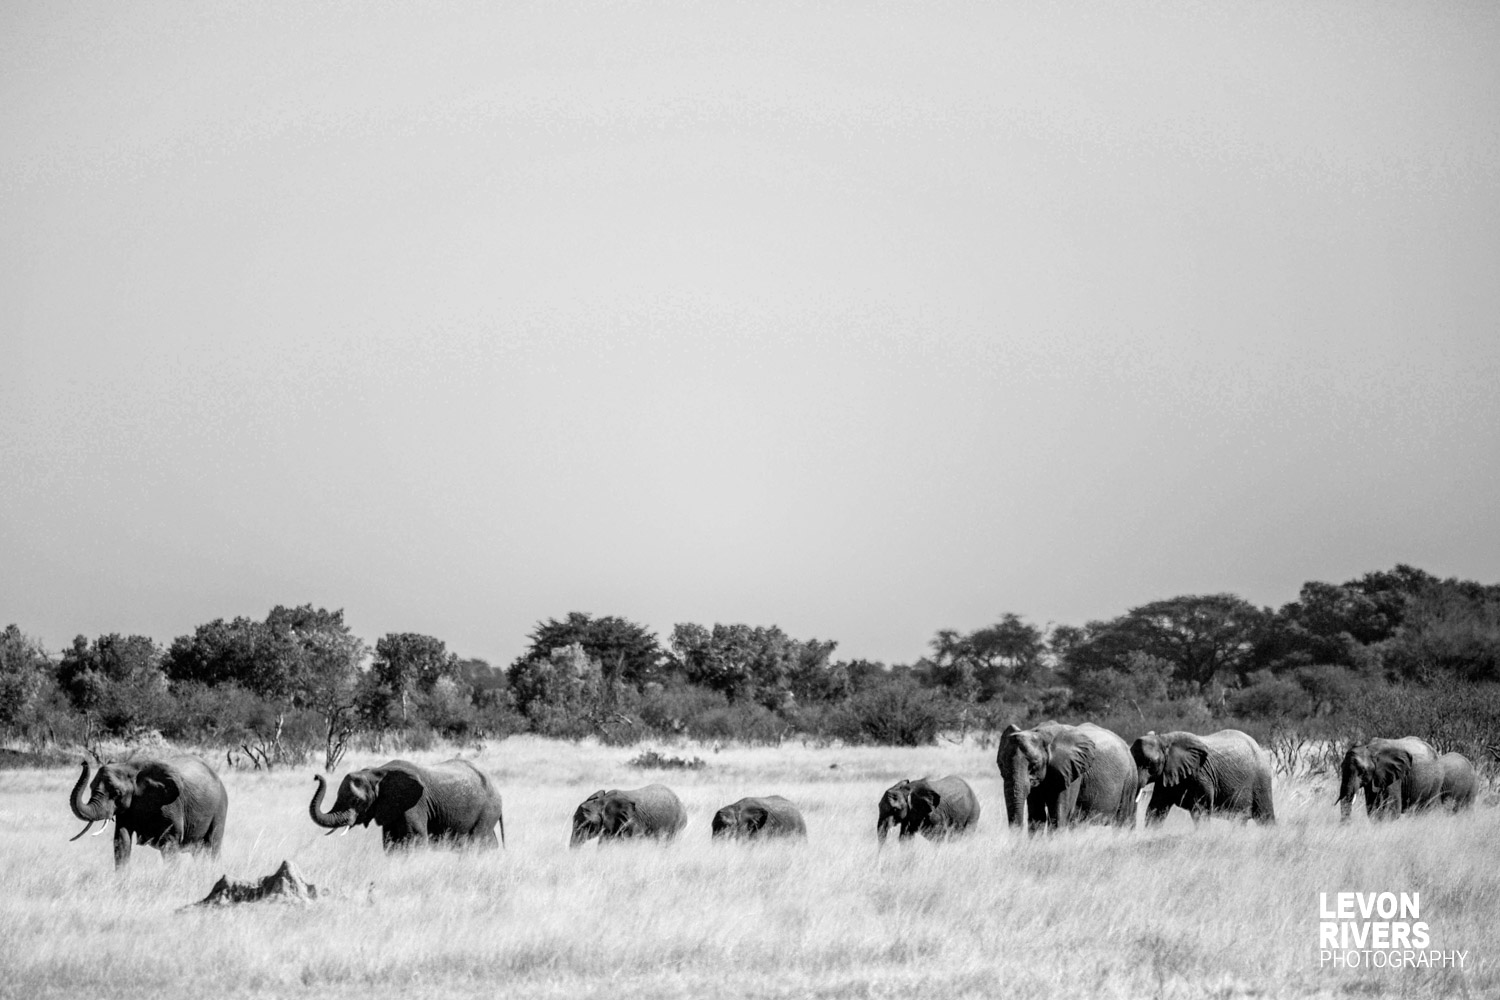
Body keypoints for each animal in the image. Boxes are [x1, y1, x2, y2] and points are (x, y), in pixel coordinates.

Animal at [68, 755, 228, 868]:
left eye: (117, 793)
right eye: (91, 787)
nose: (83, 763)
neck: (129, 767)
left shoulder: (171, 805)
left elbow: (169, 843)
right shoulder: (128, 808)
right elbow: (121, 840)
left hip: (220, 807)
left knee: (213, 845)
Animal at [309, 759, 504, 850]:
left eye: (356, 801)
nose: (316, 776)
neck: (376, 772)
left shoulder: (415, 805)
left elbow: (415, 839)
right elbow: (390, 843)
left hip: (488, 809)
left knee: (478, 841)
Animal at [998, 721, 1139, 830]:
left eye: (1034, 764)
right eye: (1001, 764)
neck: (1040, 734)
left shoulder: (1072, 770)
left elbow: (1059, 813)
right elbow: (1036, 815)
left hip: (1130, 778)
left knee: (1122, 818)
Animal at [1131, 730, 1275, 825]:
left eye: (1149, 763)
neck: (1163, 739)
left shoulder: (1200, 774)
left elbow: (1201, 811)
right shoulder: (1167, 776)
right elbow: (1156, 809)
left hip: (1261, 779)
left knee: (1265, 817)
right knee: (1239, 820)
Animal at [1337, 737, 1476, 820]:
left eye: (1362, 771)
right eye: (1341, 767)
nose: (1347, 825)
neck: (1370, 748)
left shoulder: (1395, 776)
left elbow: (1392, 810)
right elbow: (1372, 809)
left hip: (1437, 780)